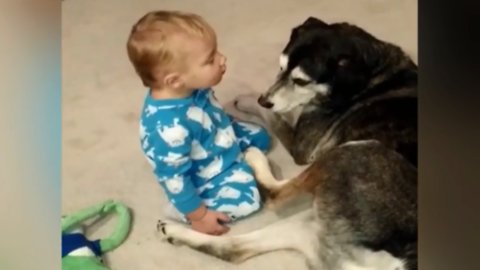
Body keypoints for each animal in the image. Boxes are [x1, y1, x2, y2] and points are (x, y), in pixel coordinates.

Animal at [156, 17, 414, 270]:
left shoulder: (304, 147)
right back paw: (174, 231)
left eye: (301, 81)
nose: (263, 99)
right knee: (234, 250)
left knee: (274, 194)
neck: (373, 70)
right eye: (280, 67)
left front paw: (250, 101)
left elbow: (276, 117)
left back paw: (254, 156)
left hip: (355, 151)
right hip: (306, 227)